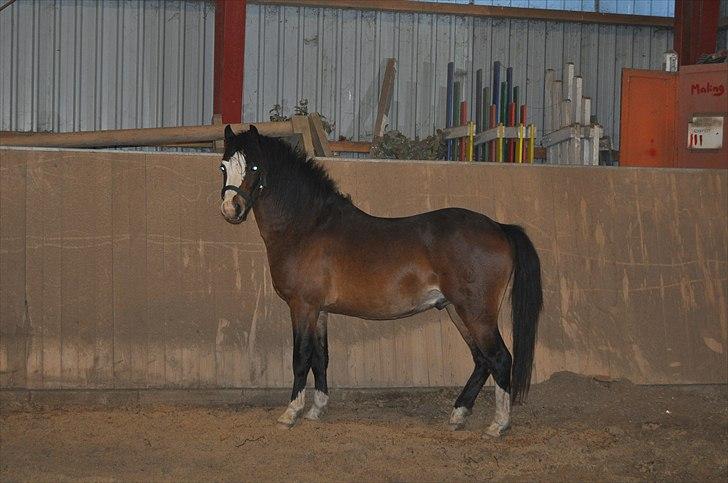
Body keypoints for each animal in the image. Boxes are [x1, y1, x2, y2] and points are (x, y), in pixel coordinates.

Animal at [218, 126, 540, 436]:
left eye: (254, 166)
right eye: (223, 166)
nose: (231, 209)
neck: (308, 227)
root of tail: (499, 227)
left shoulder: (302, 306)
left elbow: (301, 358)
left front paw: (291, 413)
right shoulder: (320, 311)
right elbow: (321, 358)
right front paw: (316, 410)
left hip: (475, 312)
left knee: (499, 358)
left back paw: (498, 425)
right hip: (456, 310)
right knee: (482, 360)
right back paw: (458, 415)